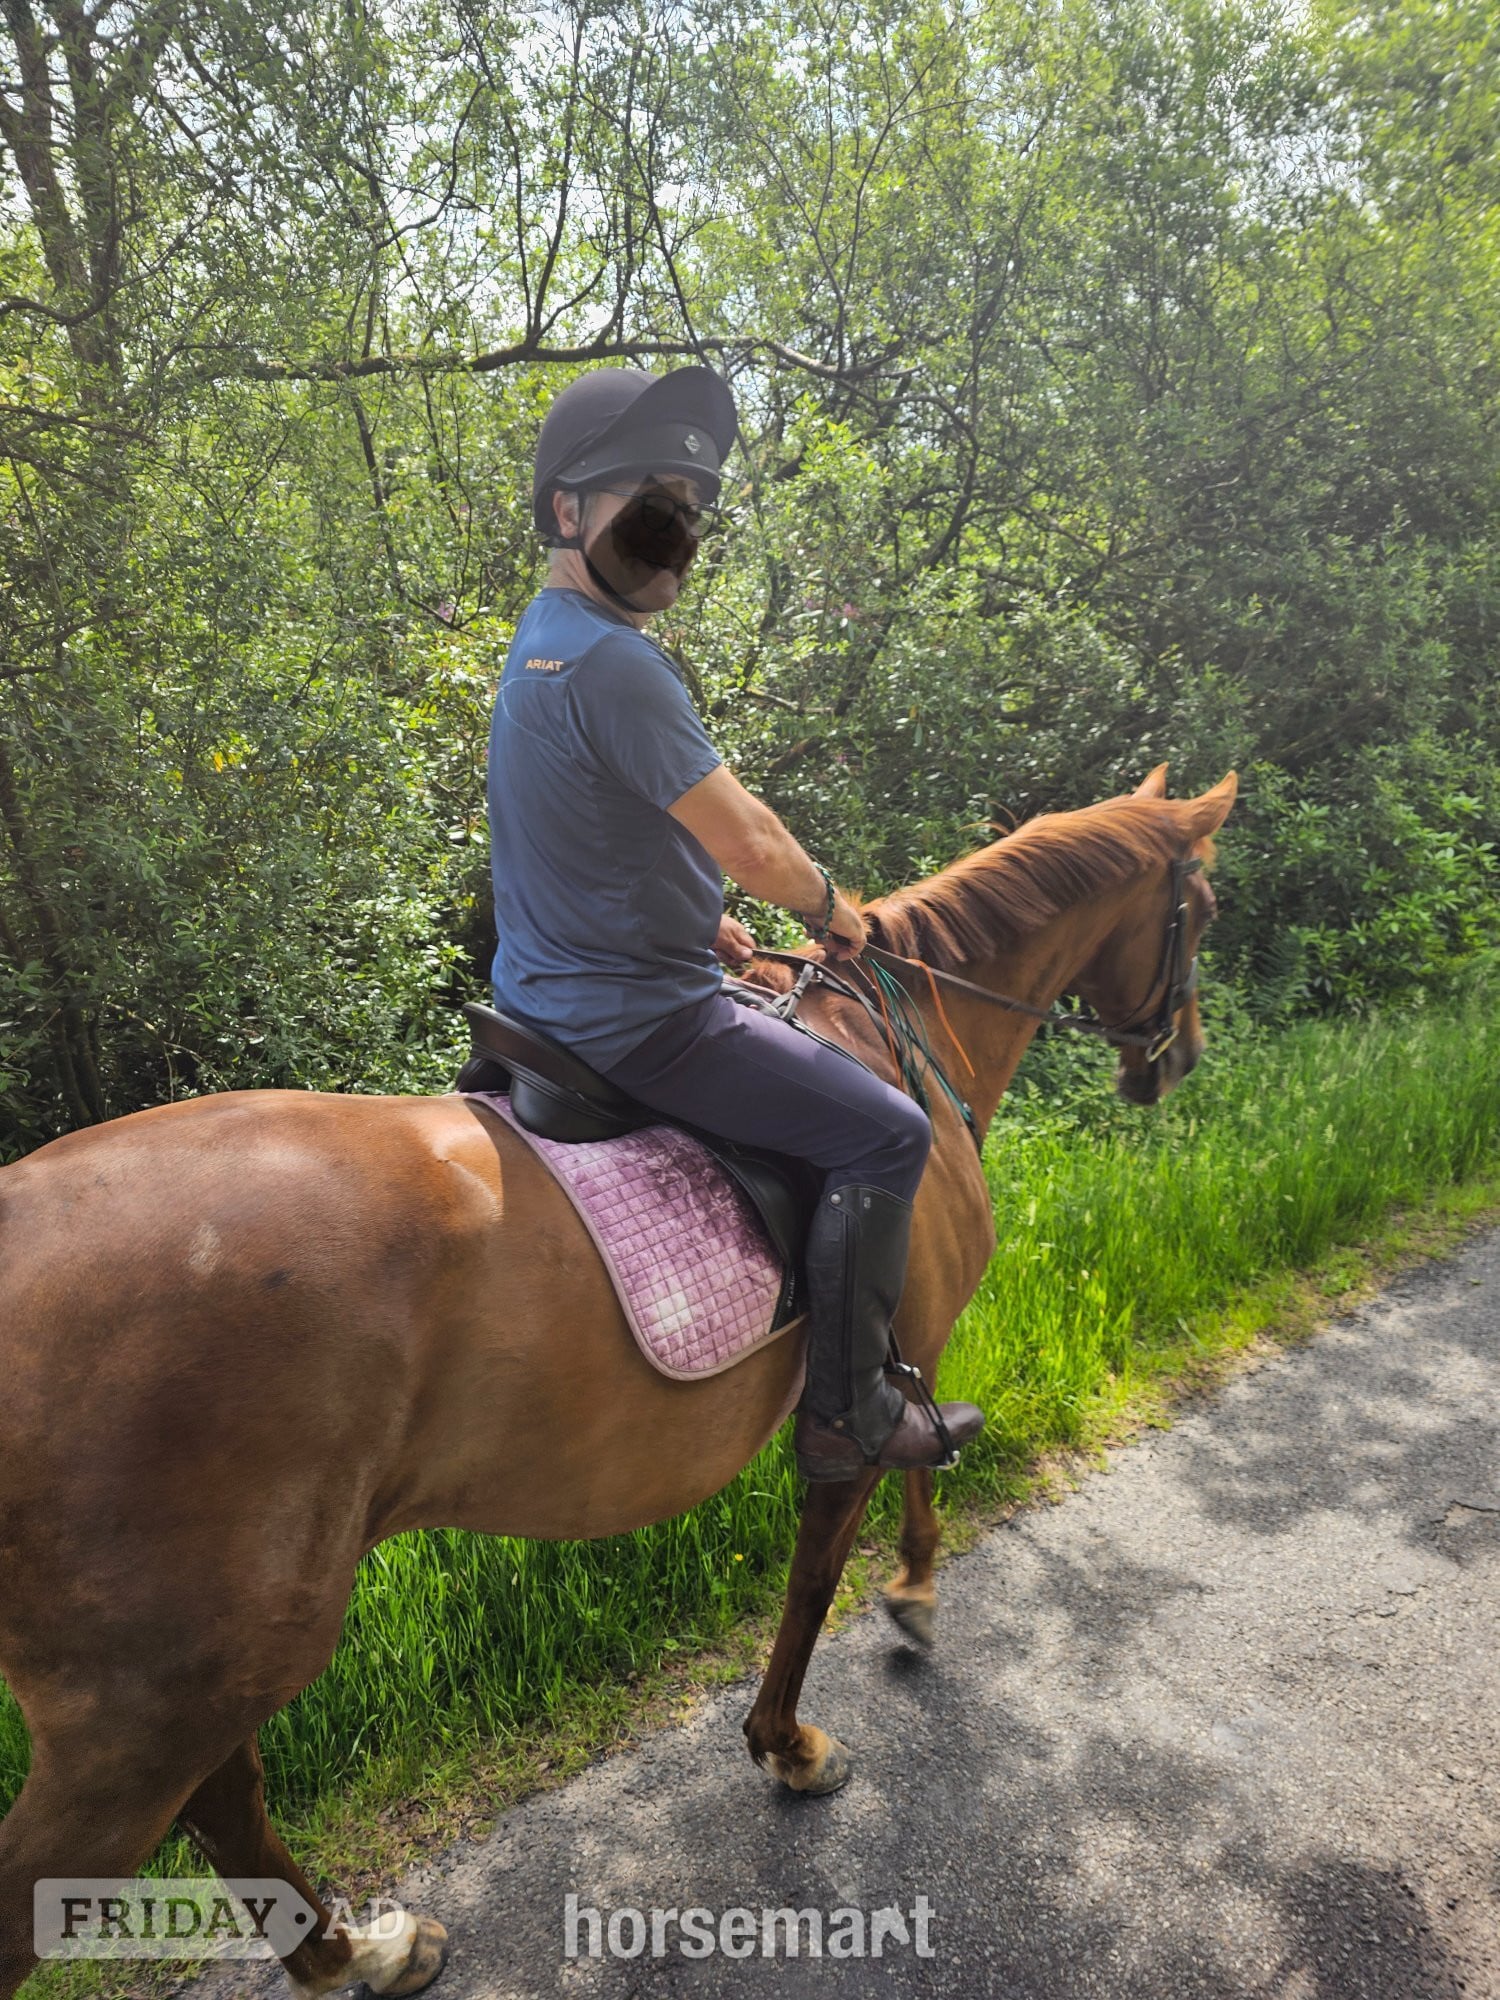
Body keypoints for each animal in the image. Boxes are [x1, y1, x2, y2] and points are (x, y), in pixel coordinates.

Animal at [0, 764, 1235, 1998]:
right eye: (1204, 908)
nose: (1178, 1057)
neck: (897, 1032)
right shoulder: (882, 1368)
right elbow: (825, 1559)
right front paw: (803, 1729)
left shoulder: (905, 1353)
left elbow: (902, 1479)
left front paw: (905, 1600)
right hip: (147, 1706)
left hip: (196, 1672)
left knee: (226, 1801)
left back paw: (358, 1951)